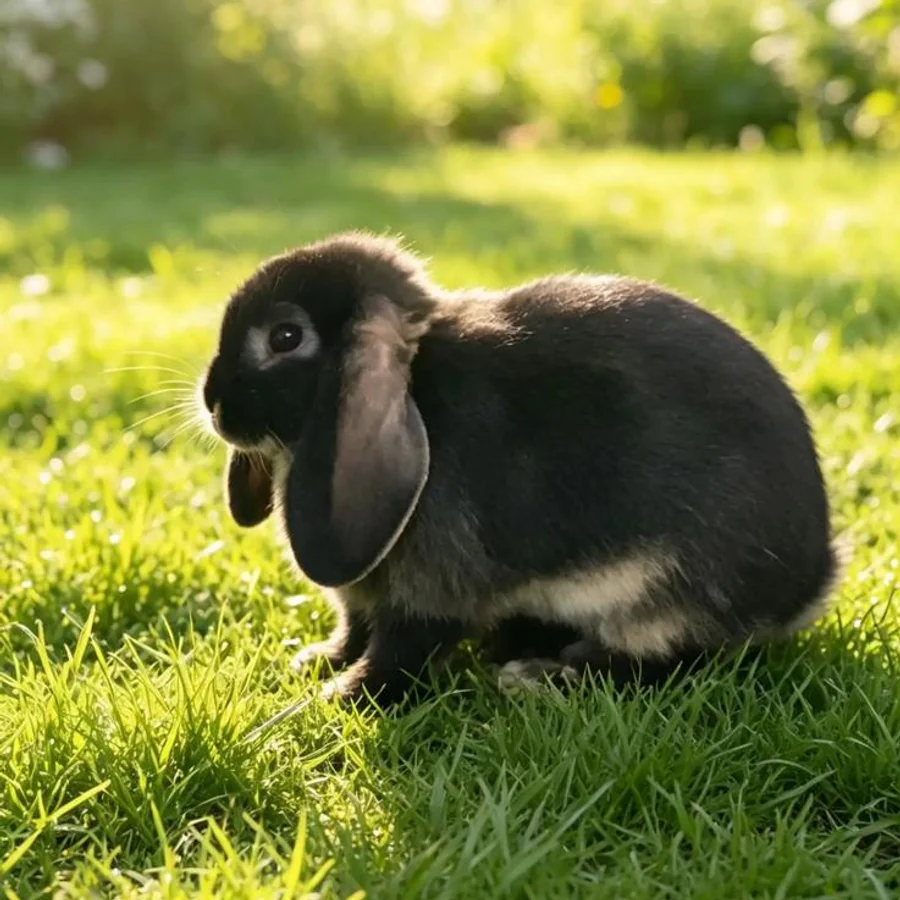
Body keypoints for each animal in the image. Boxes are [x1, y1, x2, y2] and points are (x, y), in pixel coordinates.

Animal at [201, 232, 838, 706]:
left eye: (285, 337)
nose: (211, 403)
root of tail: (810, 582)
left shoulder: (431, 592)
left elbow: (399, 652)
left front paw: (339, 697)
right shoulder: (363, 597)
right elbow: (354, 628)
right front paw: (314, 661)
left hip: (662, 593)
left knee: (669, 661)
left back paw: (541, 675)